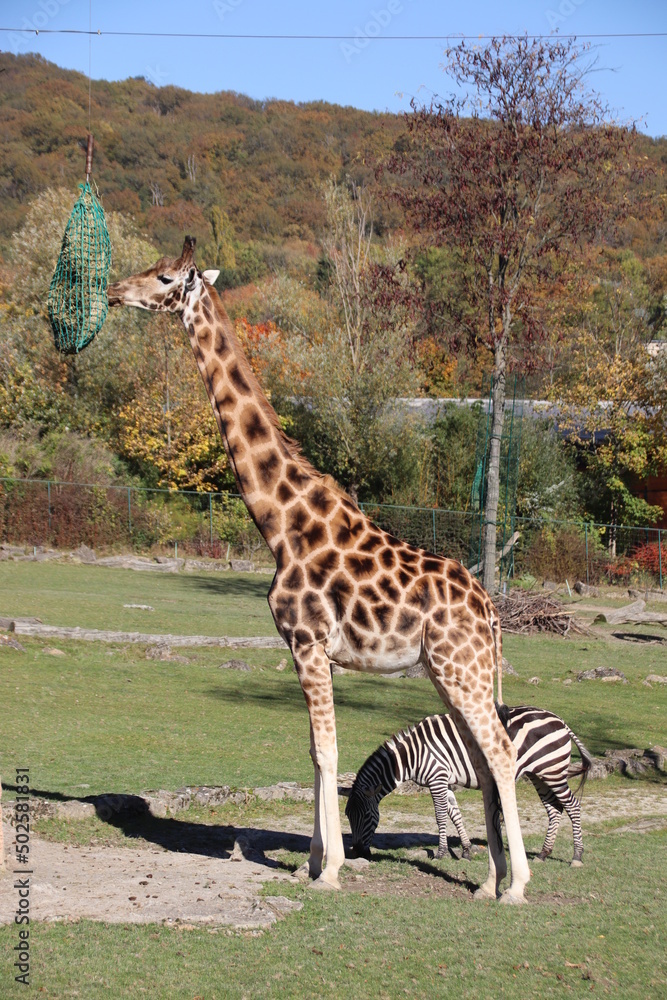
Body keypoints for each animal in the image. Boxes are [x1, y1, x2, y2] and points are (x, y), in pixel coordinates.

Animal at [108, 236, 530, 903]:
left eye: (166, 277)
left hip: (460, 669)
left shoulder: (308, 642)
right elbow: (312, 750)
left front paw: (329, 870)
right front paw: (309, 862)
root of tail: (489, 609)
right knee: (485, 759)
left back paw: (517, 887)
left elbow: (328, 752)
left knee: (503, 753)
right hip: (449, 672)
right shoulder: (304, 650)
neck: (281, 524)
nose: (113, 291)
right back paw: (488, 882)